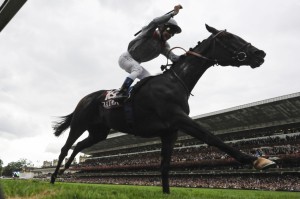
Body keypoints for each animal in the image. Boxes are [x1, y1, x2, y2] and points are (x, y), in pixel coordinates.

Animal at [51, 24, 274, 193]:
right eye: (228, 37)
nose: (259, 53)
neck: (175, 83)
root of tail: (85, 98)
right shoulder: (179, 119)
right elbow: (212, 137)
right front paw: (257, 159)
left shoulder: (170, 132)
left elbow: (165, 166)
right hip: (79, 124)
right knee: (65, 148)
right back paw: (53, 177)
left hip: (99, 132)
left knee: (79, 145)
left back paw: (65, 169)